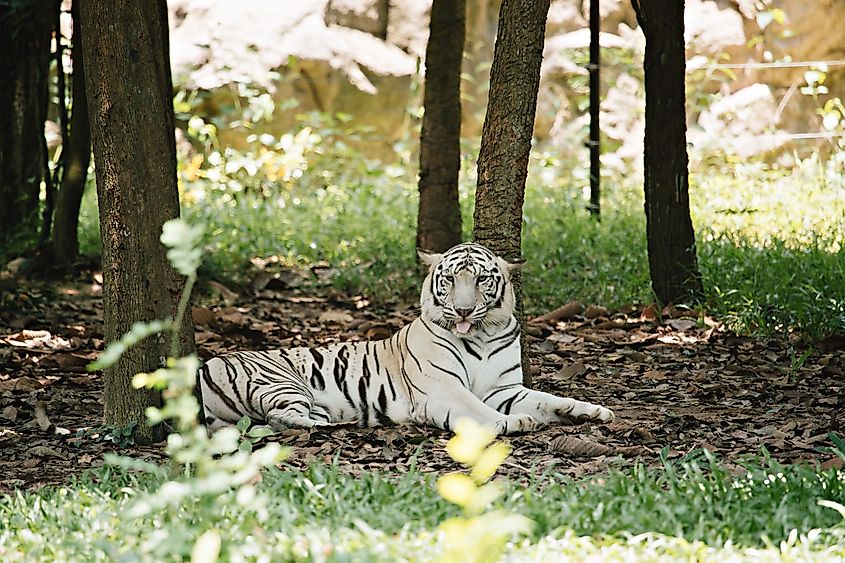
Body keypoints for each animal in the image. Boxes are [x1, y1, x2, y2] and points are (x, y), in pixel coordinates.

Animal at [199, 242, 614, 435]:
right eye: (450, 279)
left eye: (481, 279)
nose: (464, 310)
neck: (482, 335)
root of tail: (203, 364)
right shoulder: (444, 388)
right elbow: (479, 410)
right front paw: (512, 423)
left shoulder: (504, 388)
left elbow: (547, 398)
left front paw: (588, 410)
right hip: (281, 382)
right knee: (283, 419)